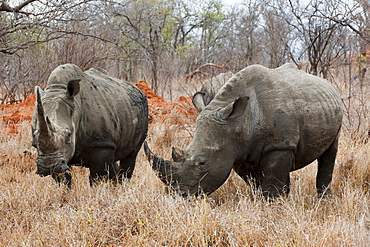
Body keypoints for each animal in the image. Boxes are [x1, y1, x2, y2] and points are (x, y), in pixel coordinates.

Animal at [143, 64, 342, 198]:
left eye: (202, 162)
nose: (178, 195)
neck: (237, 123)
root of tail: (327, 83)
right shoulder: (236, 149)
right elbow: (255, 182)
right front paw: (263, 199)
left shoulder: (280, 145)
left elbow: (272, 184)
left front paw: (274, 207)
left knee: (330, 152)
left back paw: (324, 199)